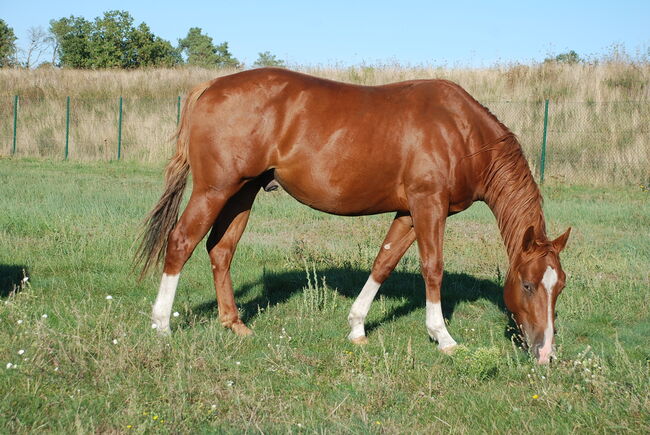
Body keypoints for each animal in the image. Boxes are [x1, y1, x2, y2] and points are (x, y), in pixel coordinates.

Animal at [136, 68, 571, 365]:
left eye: (560, 287)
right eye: (528, 285)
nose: (545, 353)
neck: (461, 133)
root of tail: (211, 86)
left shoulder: (409, 212)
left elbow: (383, 263)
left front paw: (358, 326)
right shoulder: (428, 205)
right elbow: (433, 268)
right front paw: (442, 336)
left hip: (243, 192)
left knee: (220, 250)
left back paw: (234, 323)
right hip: (214, 189)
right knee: (181, 242)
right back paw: (161, 325)